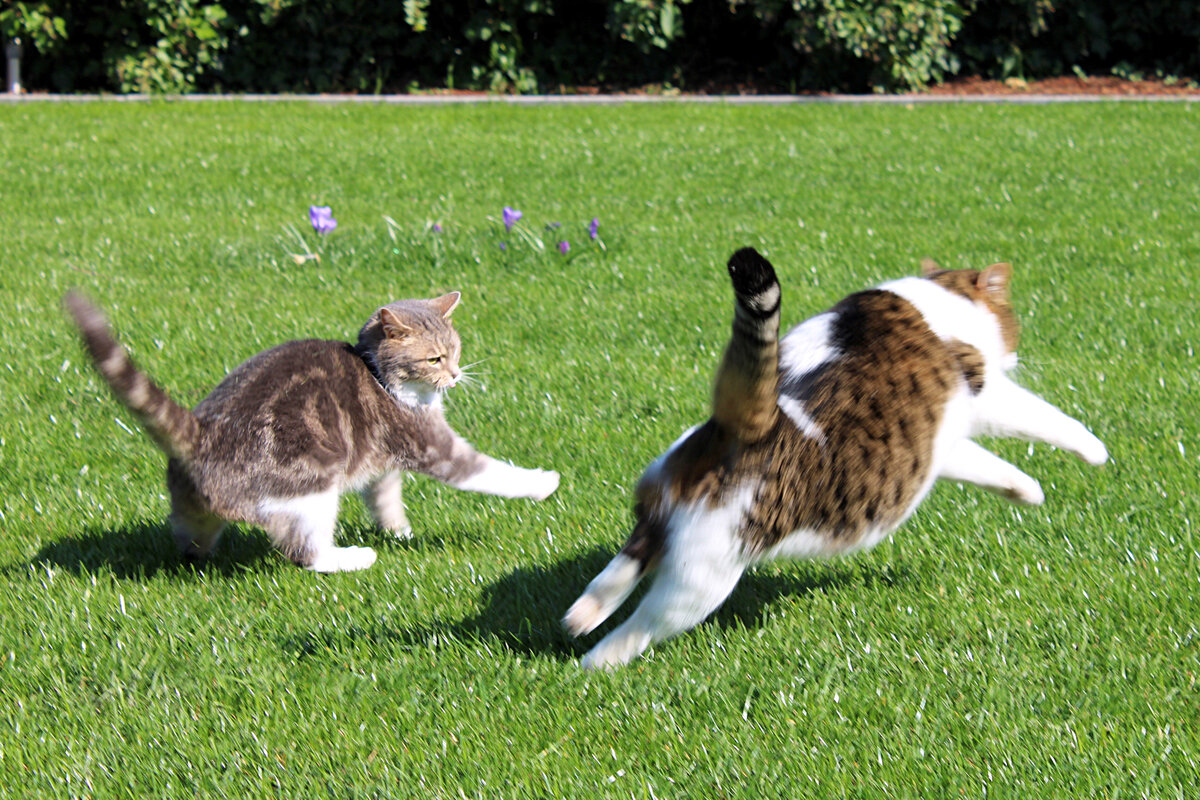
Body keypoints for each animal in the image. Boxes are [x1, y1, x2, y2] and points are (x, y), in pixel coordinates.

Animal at [62, 291, 556, 573]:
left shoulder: (382, 462)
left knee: (188, 535)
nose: (455, 376)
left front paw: (399, 531)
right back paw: (353, 557)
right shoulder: (432, 445)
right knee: (306, 554)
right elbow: (489, 473)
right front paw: (541, 482)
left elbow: (385, 496)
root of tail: (202, 434)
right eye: (434, 359)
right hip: (313, 485)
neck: (378, 373)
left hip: (192, 506)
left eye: (455, 351)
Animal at [561, 248, 1104, 671]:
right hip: (700, 581)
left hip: (657, 513)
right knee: (640, 626)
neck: (938, 295)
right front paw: (1096, 451)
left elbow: (989, 467)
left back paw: (580, 617)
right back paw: (593, 667)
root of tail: (736, 430)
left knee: (620, 568)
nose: (1015, 352)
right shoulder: (987, 394)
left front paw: (1026, 491)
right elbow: (1049, 419)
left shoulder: (934, 448)